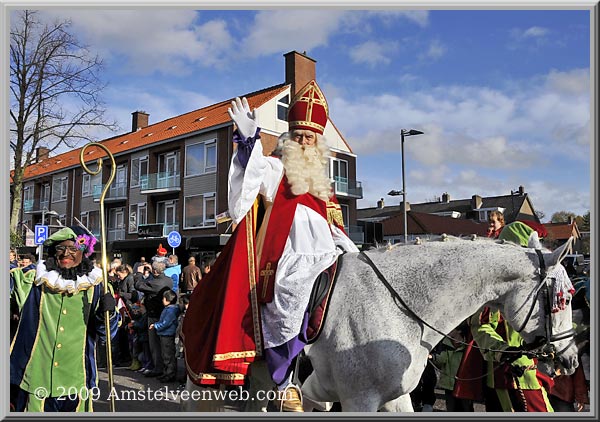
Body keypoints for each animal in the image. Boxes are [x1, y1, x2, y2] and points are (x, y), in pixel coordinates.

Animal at [182, 237, 576, 412]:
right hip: (203, 380)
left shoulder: (394, 397)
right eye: (566, 298)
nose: (571, 357)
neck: (398, 306)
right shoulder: (358, 400)